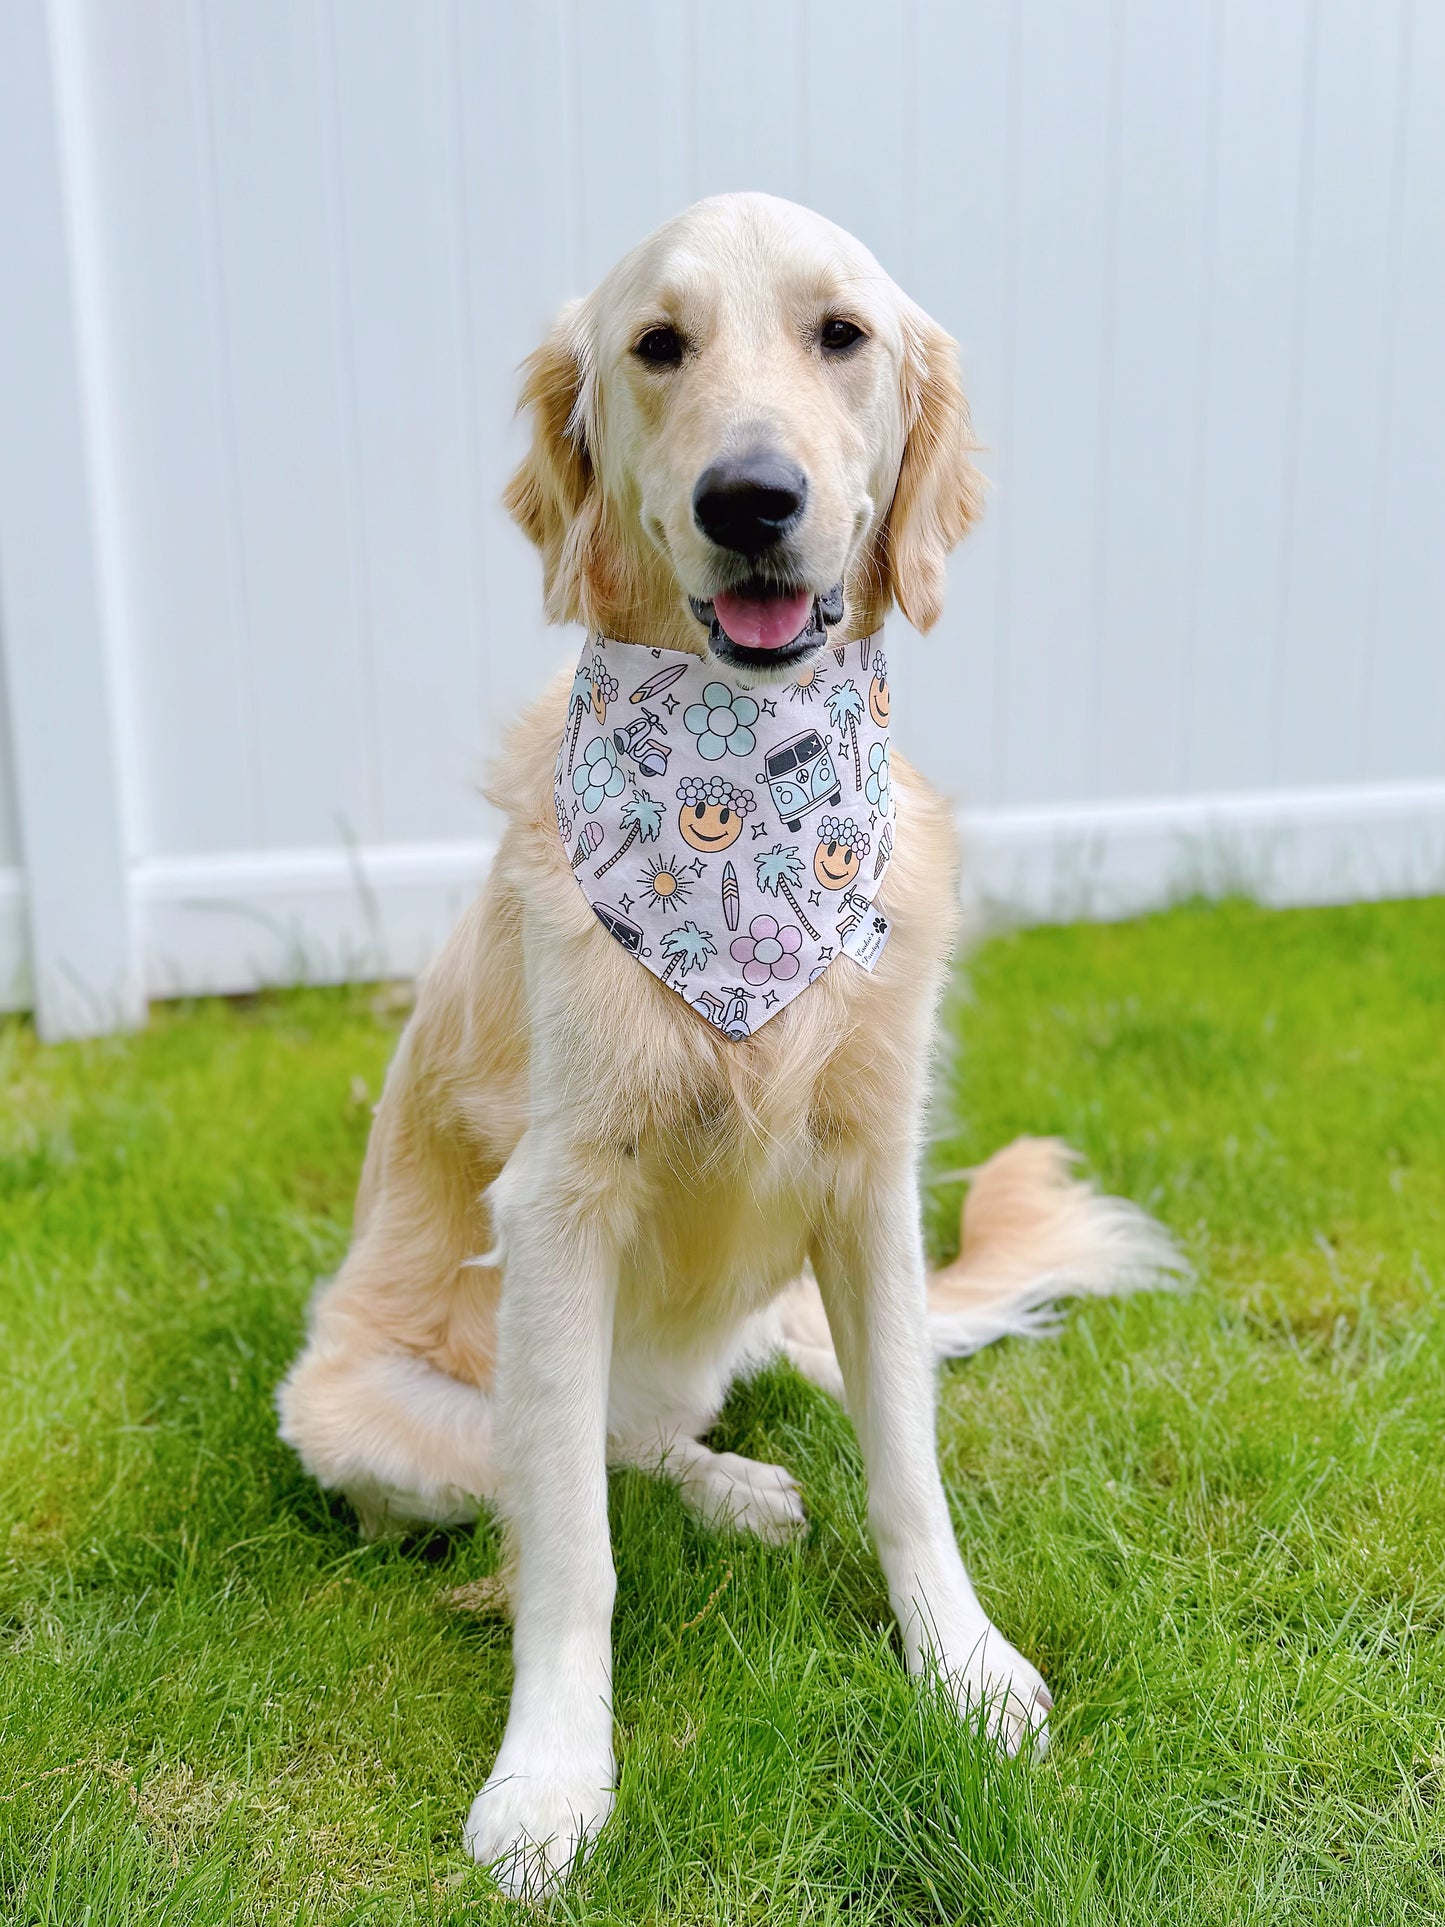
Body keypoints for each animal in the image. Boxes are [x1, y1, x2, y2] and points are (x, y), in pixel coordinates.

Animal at [277, 195, 1179, 1896]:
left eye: (841, 334)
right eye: (657, 345)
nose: (750, 498)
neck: (746, 796)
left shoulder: (870, 1182)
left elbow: (907, 1471)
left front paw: (962, 1666)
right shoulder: (558, 1208)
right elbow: (569, 1547)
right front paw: (552, 1777)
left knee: (649, 1431)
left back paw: (745, 1485)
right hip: (363, 1412)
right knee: (578, 1458)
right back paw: (724, 1494)